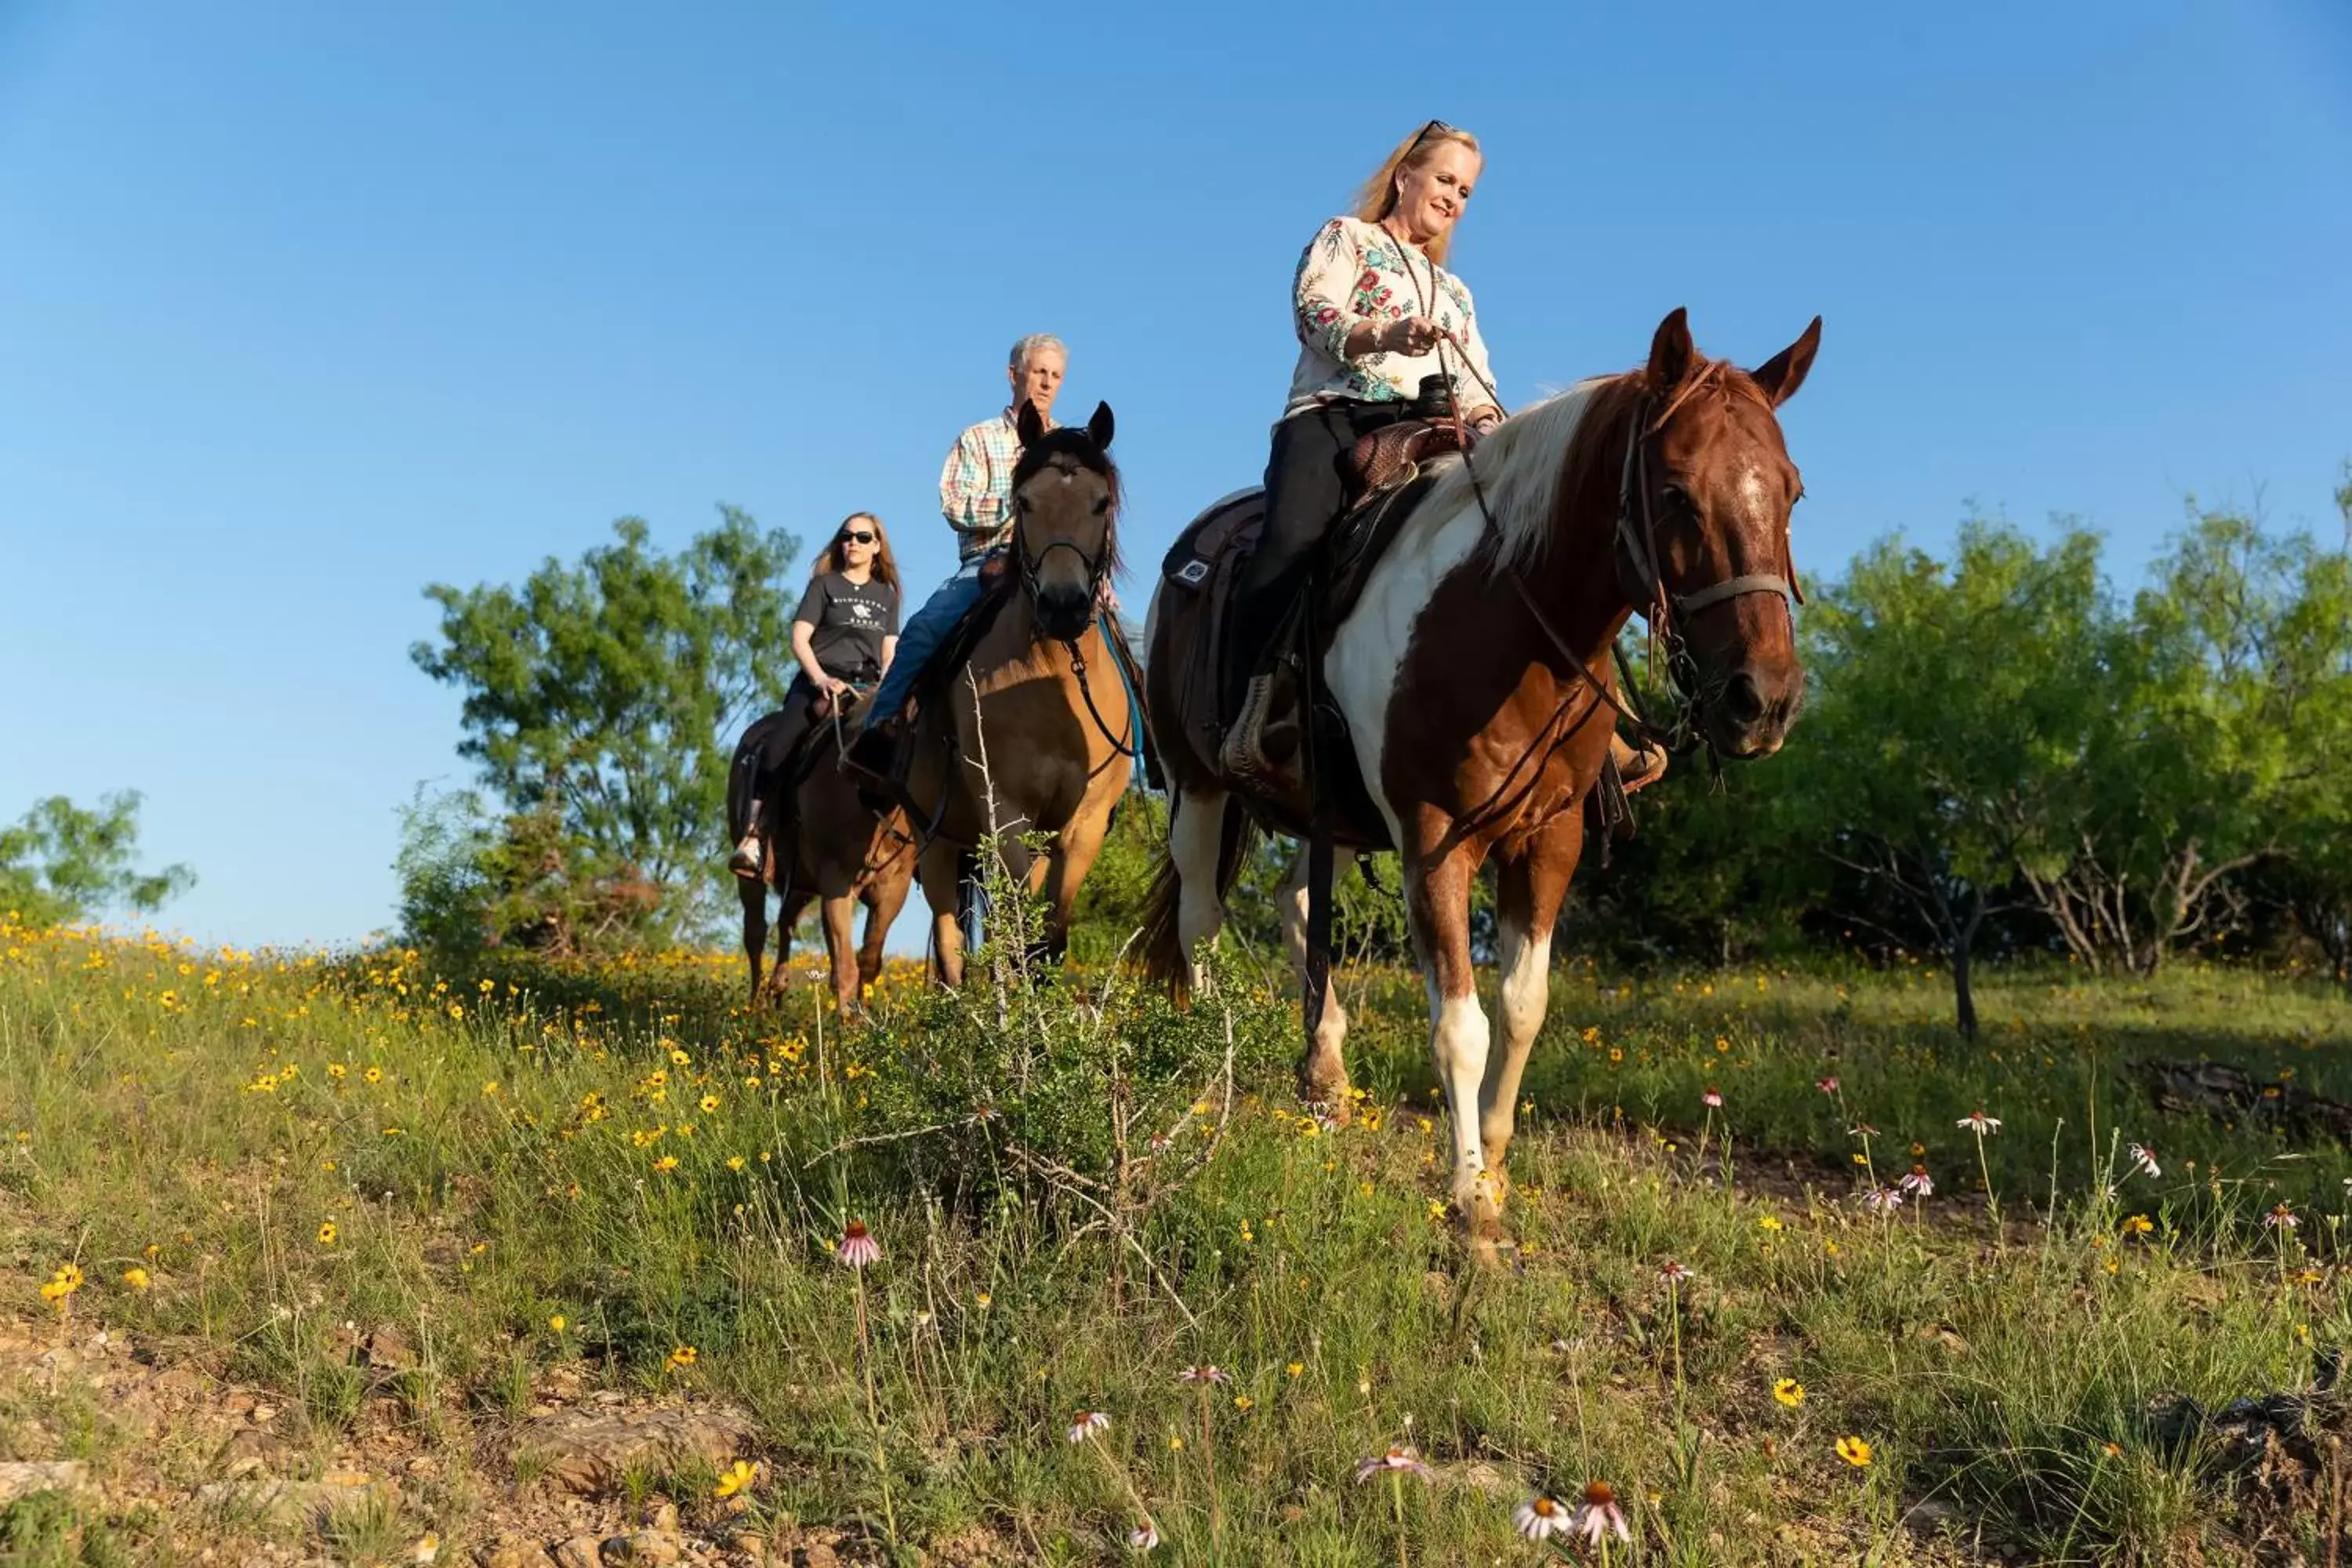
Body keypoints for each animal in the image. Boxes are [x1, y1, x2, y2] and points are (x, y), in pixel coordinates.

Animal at [894, 401, 1134, 982]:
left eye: (1101, 502)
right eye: (1024, 502)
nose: (1064, 607)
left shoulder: (1080, 828)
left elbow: (1048, 946)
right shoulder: (1006, 814)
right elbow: (1015, 942)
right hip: (938, 843)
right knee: (951, 950)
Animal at [1138, 310, 1816, 1260]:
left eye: (1791, 492)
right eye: (1678, 491)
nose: (1765, 700)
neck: (1500, 616)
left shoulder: (1551, 836)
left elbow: (1524, 1005)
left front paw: (1492, 1162)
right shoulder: (1433, 840)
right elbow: (1461, 1024)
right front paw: (1469, 1203)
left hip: (1331, 814)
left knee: (1295, 898)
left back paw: (1326, 1075)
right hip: (1196, 787)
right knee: (1201, 918)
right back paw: (1214, 1069)